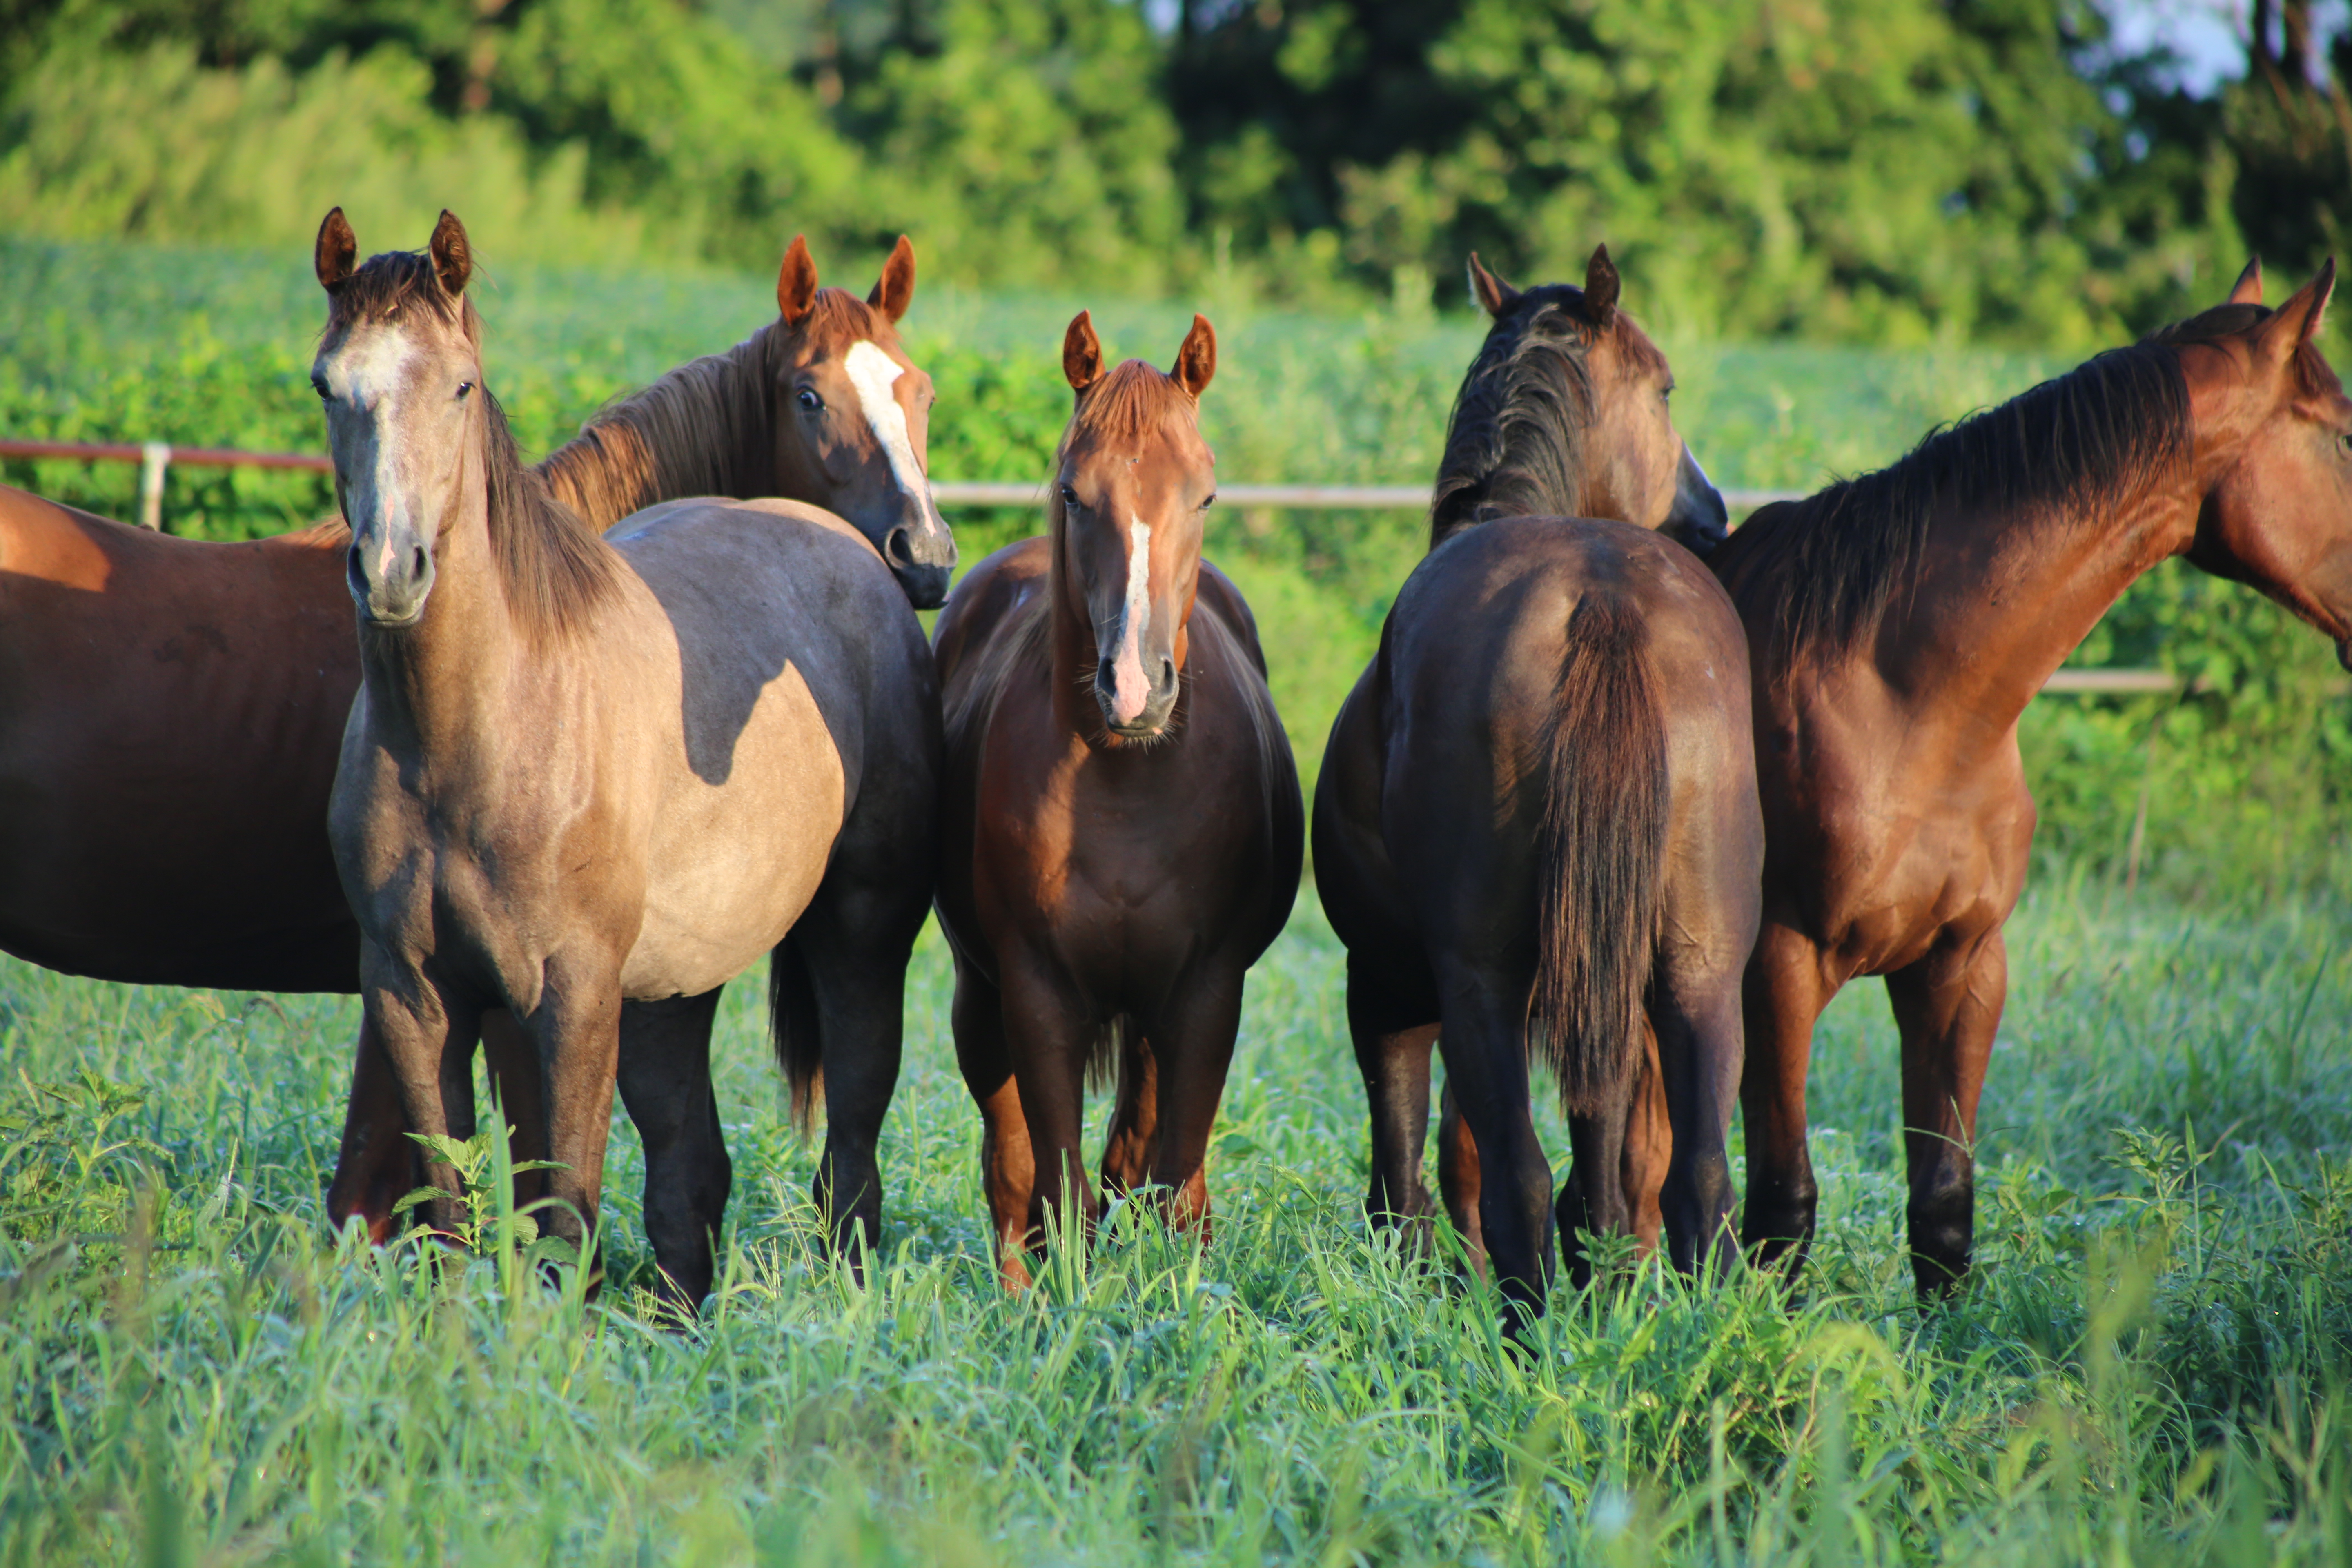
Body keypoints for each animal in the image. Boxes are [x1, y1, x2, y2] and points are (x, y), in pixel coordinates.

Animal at [310, 212, 936, 1316]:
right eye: (327, 386)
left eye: (462, 386)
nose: (392, 570)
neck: (478, 731)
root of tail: (849, 551)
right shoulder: (410, 992)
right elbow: (450, 1208)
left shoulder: (572, 992)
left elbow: (564, 1212)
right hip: (670, 989)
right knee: (691, 1168)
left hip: (859, 930)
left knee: (852, 1148)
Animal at [931, 310, 1307, 1288]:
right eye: (1073, 493)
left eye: (1204, 497)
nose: (1135, 688)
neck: (1126, 784)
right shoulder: (1036, 993)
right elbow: (1048, 1181)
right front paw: (1061, 1299)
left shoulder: (1206, 992)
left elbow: (1171, 1177)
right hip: (980, 998)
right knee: (1013, 1162)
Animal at [1317, 248, 1759, 1326]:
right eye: (1666, 389)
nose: (1712, 512)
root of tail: (1602, 595)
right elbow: (1602, 1165)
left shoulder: (1387, 982)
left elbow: (1408, 1172)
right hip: (1697, 967)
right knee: (1695, 1177)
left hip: (1476, 979)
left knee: (1511, 1175)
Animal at [1712, 257, 2352, 1297]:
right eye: (2343, 433)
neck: (1899, 699)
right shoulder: (1777, 963)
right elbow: (1782, 1206)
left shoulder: (1961, 964)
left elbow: (1940, 1207)